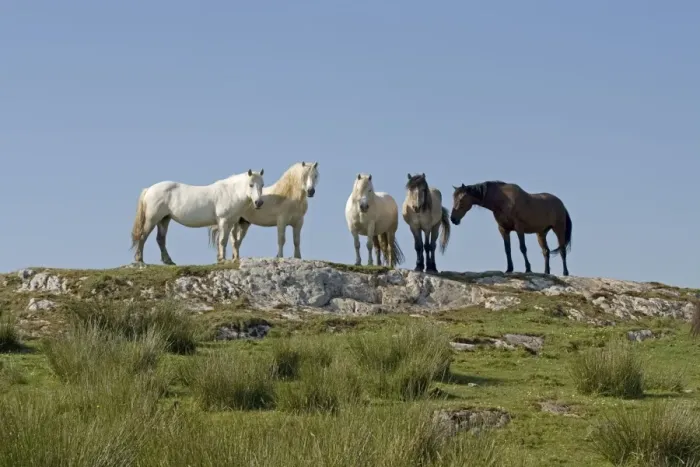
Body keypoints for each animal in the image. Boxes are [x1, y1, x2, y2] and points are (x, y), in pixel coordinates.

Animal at [130, 169, 265, 266]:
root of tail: (149, 189)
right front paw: (222, 260)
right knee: (142, 236)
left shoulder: (231, 223)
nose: (258, 203)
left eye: (262, 185)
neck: (231, 192)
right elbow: (222, 240)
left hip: (164, 219)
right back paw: (140, 261)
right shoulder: (223, 221)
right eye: (251, 185)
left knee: (160, 239)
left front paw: (222, 259)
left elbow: (227, 241)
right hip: (152, 219)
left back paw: (169, 261)